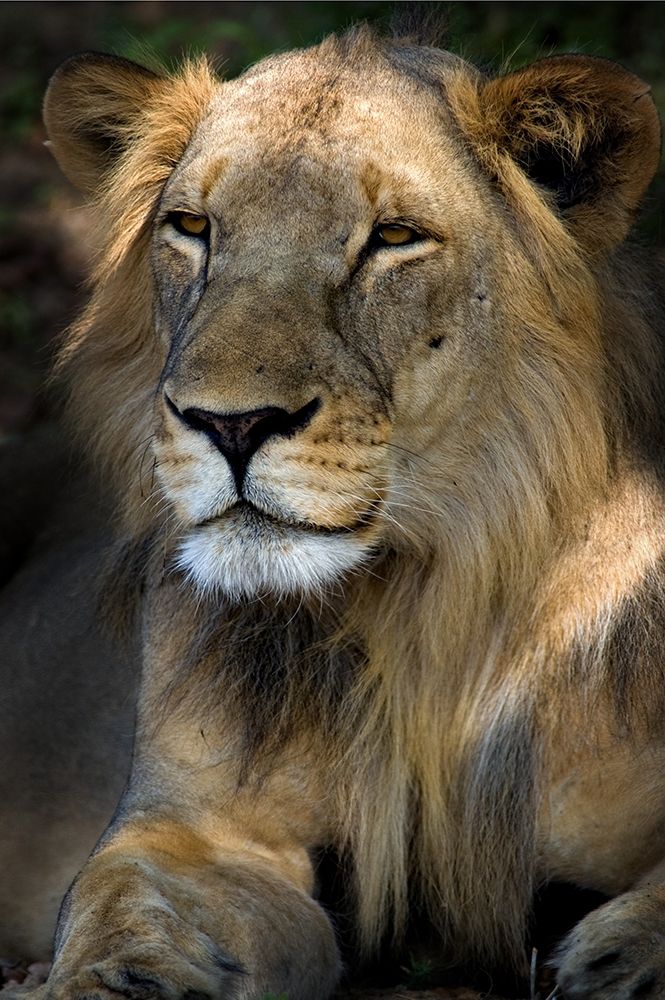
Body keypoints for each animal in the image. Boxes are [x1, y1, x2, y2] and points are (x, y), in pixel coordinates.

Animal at [2, 19, 665, 1000]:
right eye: (192, 227)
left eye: (392, 238)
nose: (230, 423)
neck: (425, 604)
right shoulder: (197, 830)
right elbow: (123, 906)